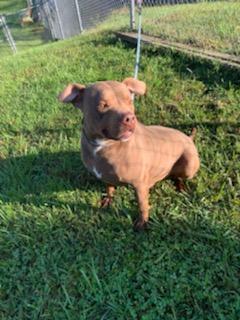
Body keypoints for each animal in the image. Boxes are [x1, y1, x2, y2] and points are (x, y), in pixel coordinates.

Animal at [59, 79, 200, 231]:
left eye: (129, 101)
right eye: (103, 105)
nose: (131, 118)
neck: (103, 145)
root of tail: (188, 138)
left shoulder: (139, 185)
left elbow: (142, 205)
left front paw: (143, 222)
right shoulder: (106, 175)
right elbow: (109, 187)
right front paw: (108, 199)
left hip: (189, 164)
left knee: (179, 176)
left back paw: (180, 186)